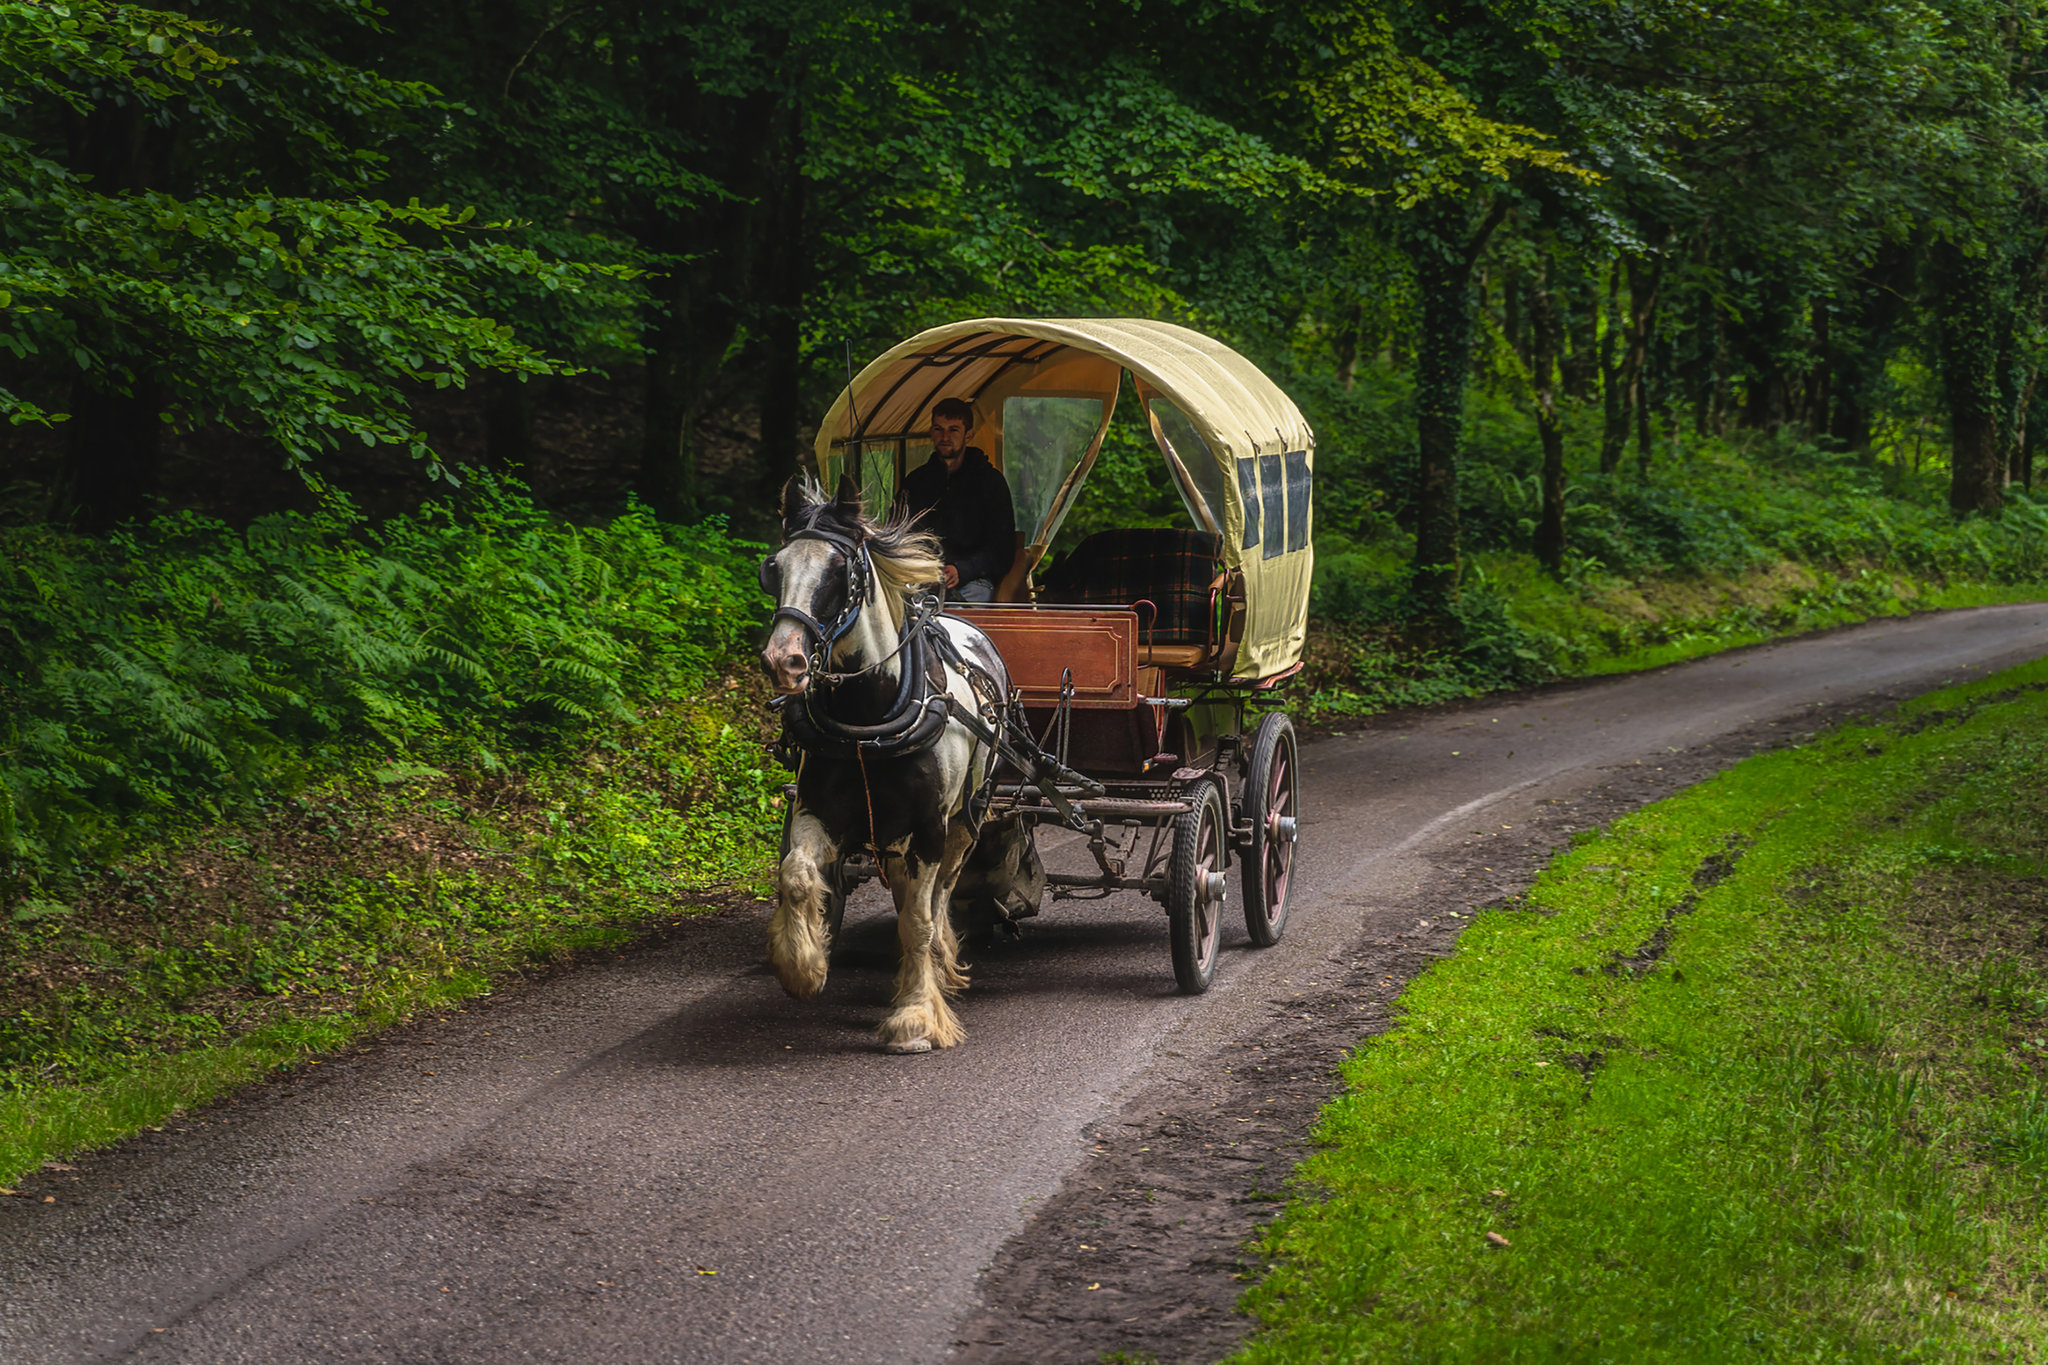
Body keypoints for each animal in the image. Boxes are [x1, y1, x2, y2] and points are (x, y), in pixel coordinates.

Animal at [757, 474, 1011, 1055]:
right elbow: (797, 874)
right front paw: (802, 965)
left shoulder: (928, 830)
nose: (784, 660)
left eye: (838, 570)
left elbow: (918, 920)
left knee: (938, 896)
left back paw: (941, 963)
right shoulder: (817, 812)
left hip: (966, 819)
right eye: (774, 567)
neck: (869, 719)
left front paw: (916, 1015)